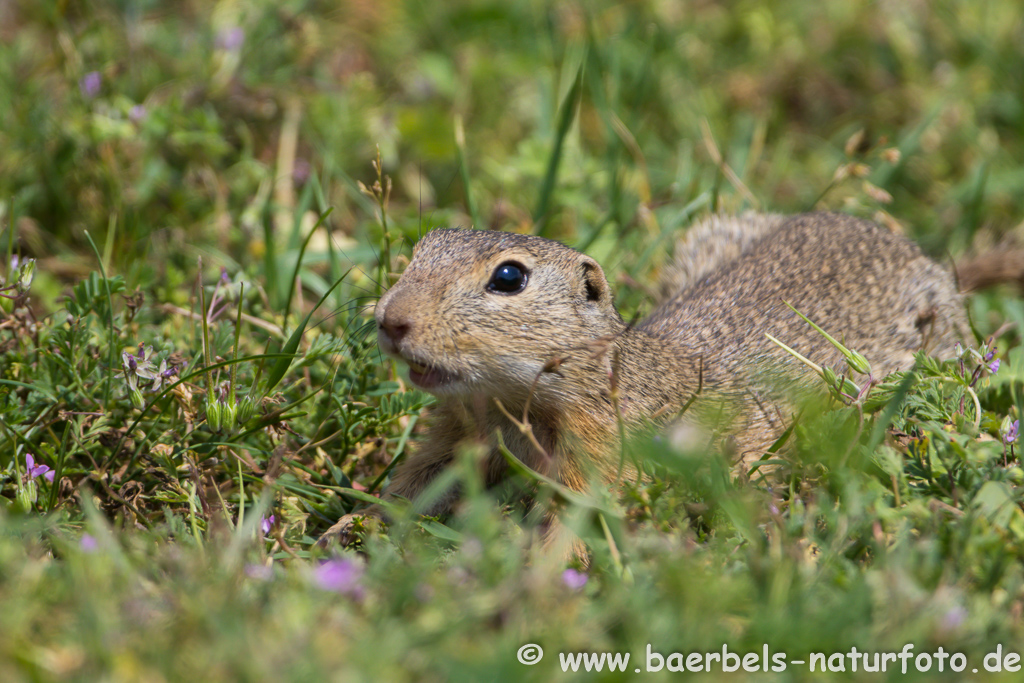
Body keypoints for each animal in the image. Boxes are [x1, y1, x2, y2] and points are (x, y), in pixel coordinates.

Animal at [319, 211, 966, 548]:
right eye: (421, 249)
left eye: (508, 278)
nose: (390, 320)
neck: (506, 403)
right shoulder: (458, 438)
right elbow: (410, 490)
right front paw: (346, 529)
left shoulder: (599, 452)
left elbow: (570, 521)